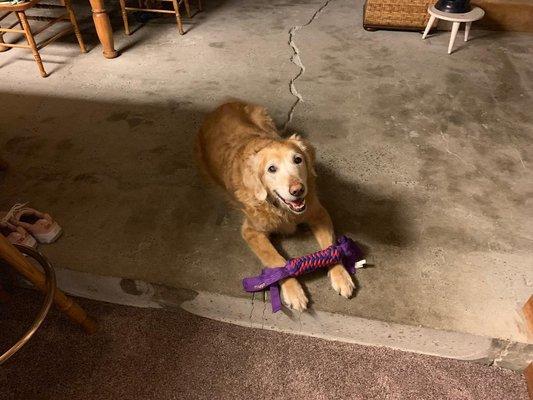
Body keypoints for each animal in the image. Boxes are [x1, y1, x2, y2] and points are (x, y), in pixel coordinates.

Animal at [195, 101, 354, 310]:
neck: (282, 209)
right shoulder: (251, 231)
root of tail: (222, 105)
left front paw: (341, 276)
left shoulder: (318, 213)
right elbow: (277, 260)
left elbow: (331, 247)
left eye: (298, 159)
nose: (298, 190)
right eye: (271, 169)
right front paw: (294, 291)